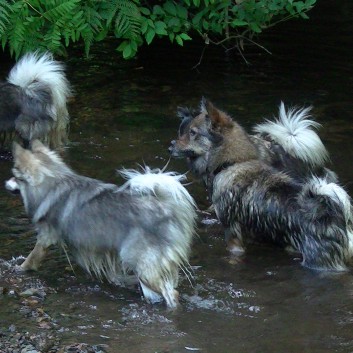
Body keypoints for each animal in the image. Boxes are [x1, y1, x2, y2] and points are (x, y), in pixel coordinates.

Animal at [5, 140, 197, 308]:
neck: (53, 182)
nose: (5, 183)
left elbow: (32, 257)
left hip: (139, 261)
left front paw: (20, 268)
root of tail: (168, 209)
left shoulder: (46, 237)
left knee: (172, 294)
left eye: (15, 176)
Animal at [168, 97, 352, 270]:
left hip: (318, 260)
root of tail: (335, 216)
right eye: (182, 132)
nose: (170, 147)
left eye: (192, 132)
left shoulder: (232, 232)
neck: (233, 163)